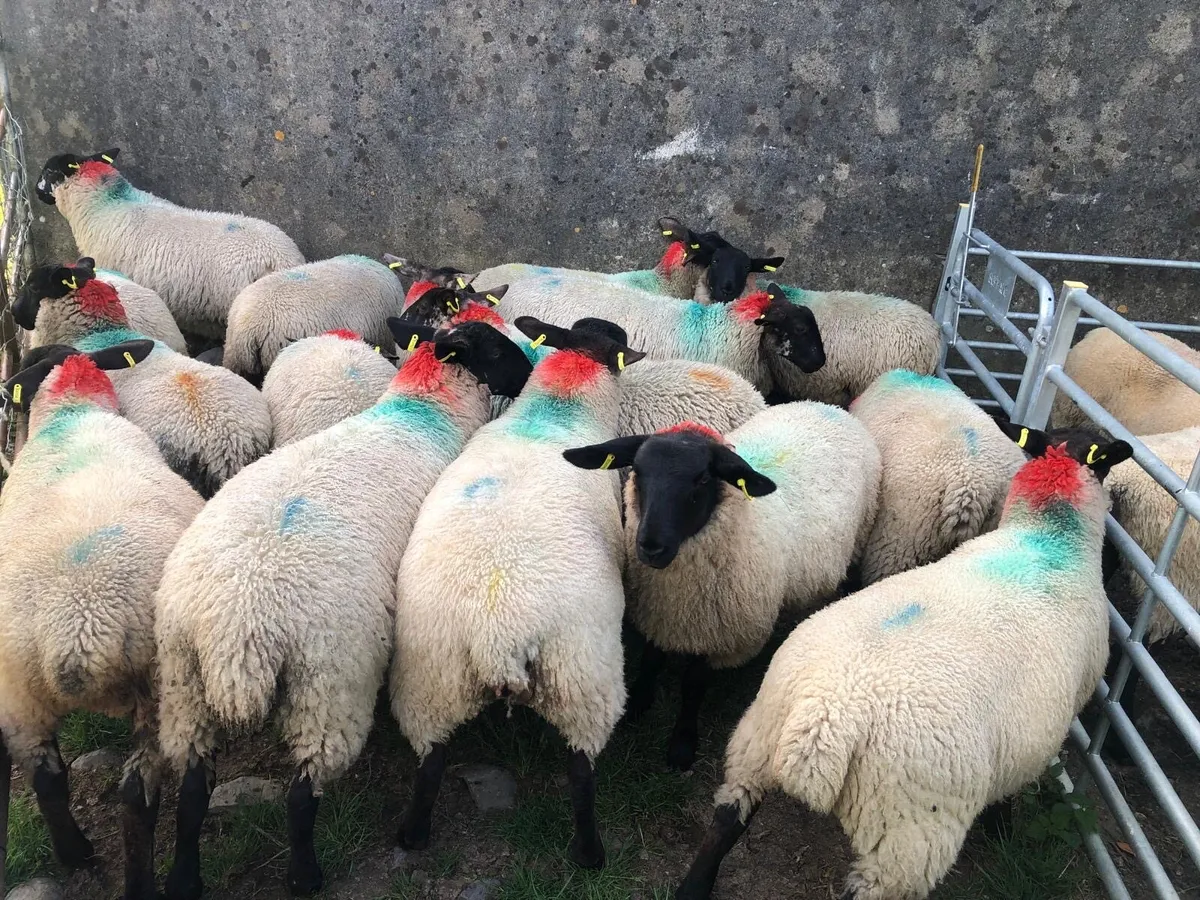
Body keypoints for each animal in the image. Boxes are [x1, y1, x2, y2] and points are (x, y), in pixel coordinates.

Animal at [0, 340, 205, 900]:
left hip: (19, 694)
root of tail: (79, 638)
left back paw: (75, 855)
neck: (73, 408)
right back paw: (138, 884)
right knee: (136, 796)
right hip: (158, 690)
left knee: (46, 777)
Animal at [389, 318, 647, 870]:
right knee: (581, 773)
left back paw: (414, 835)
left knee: (430, 764)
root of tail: (498, 639)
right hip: (583, 681)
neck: (554, 411)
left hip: (431, 680)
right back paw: (590, 854)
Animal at [564, 404, 880, 770]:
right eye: (638, 471)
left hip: (860, 538)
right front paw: (639, 701)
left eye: (702, 479)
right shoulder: (657, 612)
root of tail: (828, 407)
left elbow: (693, 684)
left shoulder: (716, 633)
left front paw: (682, 744)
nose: (651, 547)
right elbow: (651, 660)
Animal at [673, 423, 1132, 900]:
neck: (1047, 541)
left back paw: (693, 888)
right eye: (1105, 456)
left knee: (728, 816)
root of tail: (825, 718)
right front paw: (1003, 829)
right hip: (907, 830)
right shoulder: (1043, 734)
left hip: (758, 738)